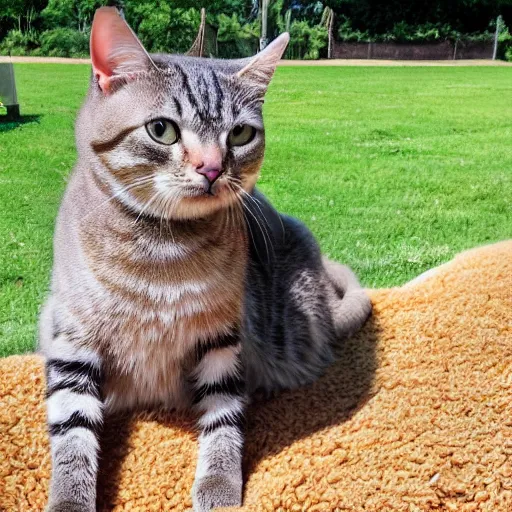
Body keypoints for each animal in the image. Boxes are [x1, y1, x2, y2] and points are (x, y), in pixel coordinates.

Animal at [37, 6, 372, 510]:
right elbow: (72, 429)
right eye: (162, 129)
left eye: (240, 133)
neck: (161, 249)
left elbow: (223, 415)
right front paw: (70, 499)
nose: (212, 168)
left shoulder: (220, 338)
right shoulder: (71, 338)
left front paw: (218, 482)